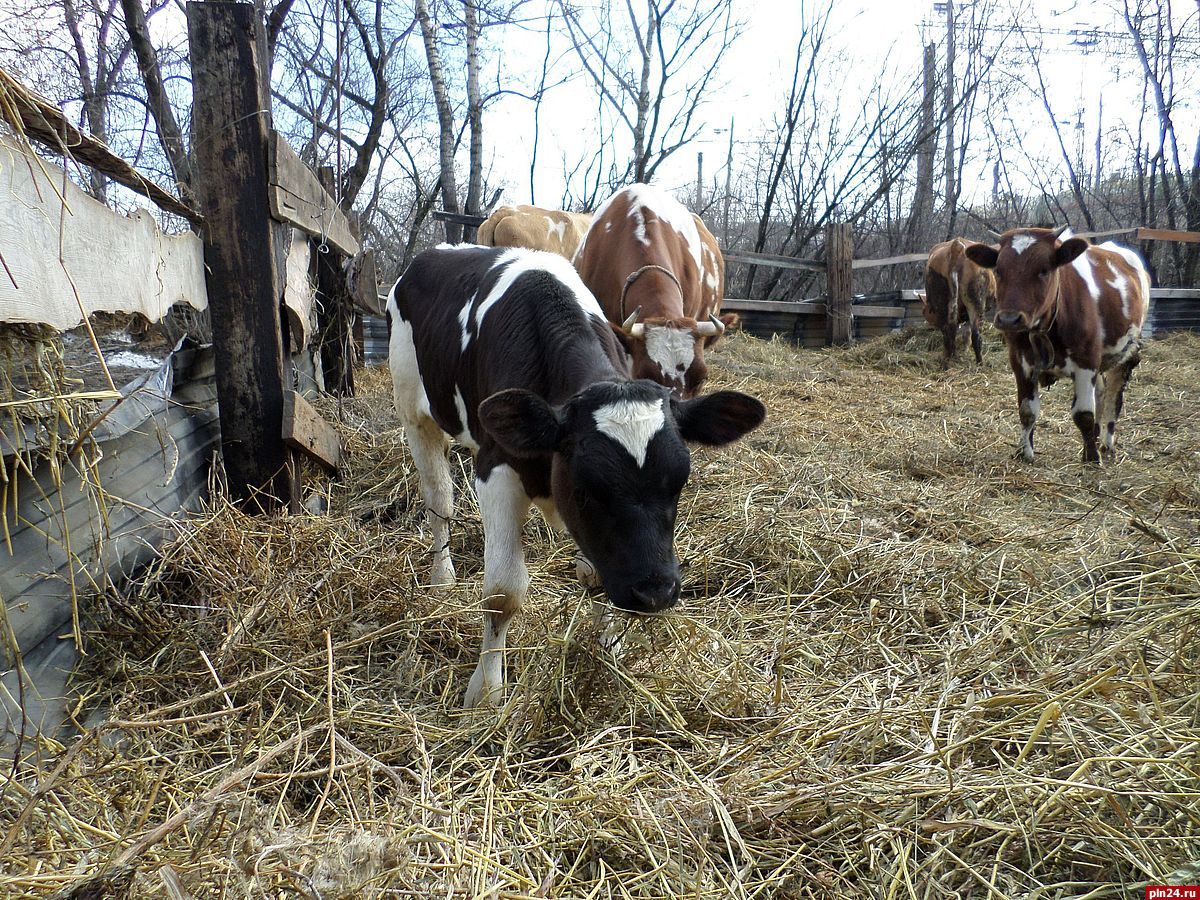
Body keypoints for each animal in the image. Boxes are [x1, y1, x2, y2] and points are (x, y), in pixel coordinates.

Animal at [388, 244, 763, 705]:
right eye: (588, 486)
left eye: (679, 482)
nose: (655, 592)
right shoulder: (497, 468)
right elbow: (503, 592)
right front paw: (486, 692)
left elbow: (596, 573)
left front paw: (610, 649)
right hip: (413, 408)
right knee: (438, 497)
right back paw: (442, 579)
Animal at [960, 225, 1147, 465]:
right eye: (999, 270)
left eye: (1044, 270)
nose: (1009, 319)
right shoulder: (1020, 361)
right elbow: (1027, 410)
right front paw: (1025, 452)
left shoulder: (1087, 360)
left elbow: (1084, 414)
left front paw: (1092, 457)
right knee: (1101, 393)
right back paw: (1096, 437)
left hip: (1127, 353)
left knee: (1114, 397)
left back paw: (1106, 444)